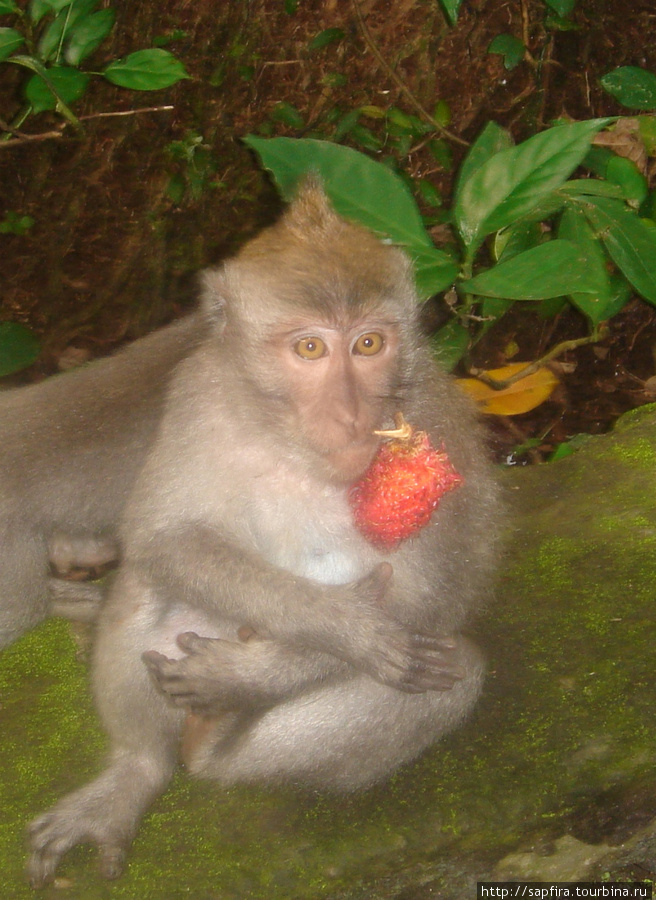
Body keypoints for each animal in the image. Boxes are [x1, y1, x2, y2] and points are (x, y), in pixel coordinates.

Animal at [26, 185, 498, 884]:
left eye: (368, 344)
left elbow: (424, 603)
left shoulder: (437, 432)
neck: (293, 444)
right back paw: (139, 770)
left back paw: (214, 742)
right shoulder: (194, 393)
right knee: (145, 584)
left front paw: (243, 678)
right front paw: (346, 624)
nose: (351, 414)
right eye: (310, 350)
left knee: (450, 674)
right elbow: (163, 536)